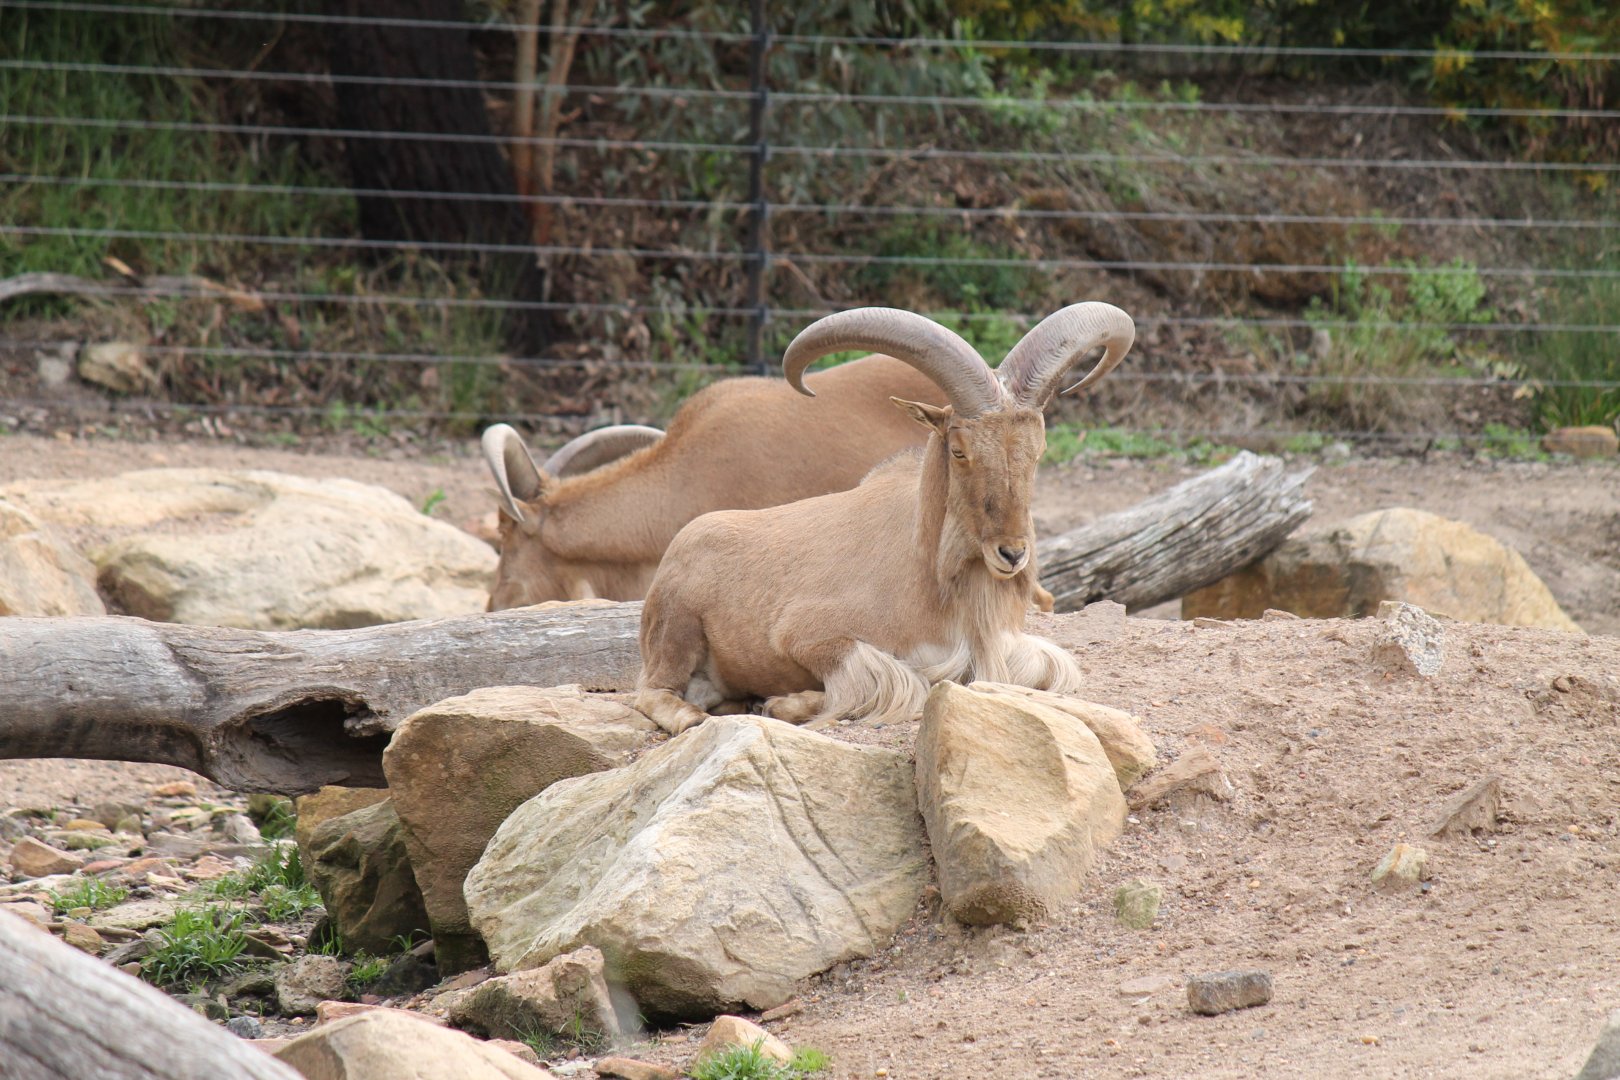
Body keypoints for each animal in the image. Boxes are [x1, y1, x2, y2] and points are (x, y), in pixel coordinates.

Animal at [635, 302, 1135, 735]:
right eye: (959, 450)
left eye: (1037, 451)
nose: (1011, 554)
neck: (931, 583)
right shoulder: (806, 634)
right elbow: (899, 681)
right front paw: (784, 703)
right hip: (676, 628)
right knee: (654, 691)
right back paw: (700, 714)